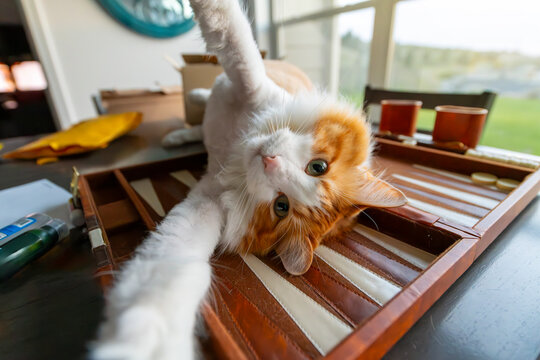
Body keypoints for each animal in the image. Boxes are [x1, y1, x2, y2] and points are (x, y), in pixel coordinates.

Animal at [92, 0, 404, 360]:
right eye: (318, 167)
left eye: (281, 206)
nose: (269, 161)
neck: (237, 145)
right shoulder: (251, 82)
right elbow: (230, 33)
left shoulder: (206, 204)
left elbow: (166, 273)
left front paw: (143, 342)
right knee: (215, 83)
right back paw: (191, 105)